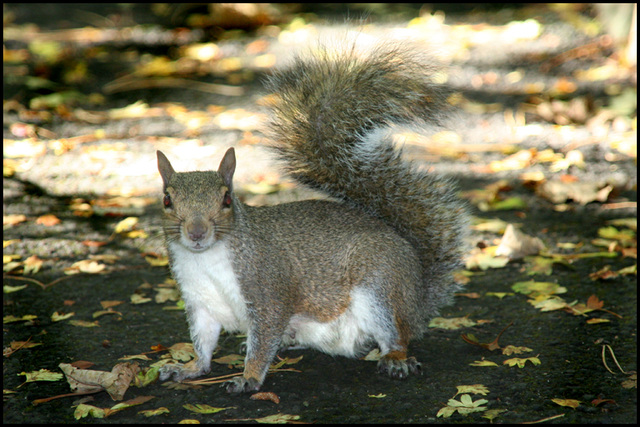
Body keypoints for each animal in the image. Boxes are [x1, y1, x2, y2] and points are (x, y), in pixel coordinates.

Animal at [158, 40, 468, 394]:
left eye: (226, 199)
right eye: (167, 200)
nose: (196, 232)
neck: (206, 259)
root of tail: (417, 296)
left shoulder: (267, 289)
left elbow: (264, 337)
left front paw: (249, 377)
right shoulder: (200, 302)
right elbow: (204, 343)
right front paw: (190, 368)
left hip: (380, 286)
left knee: (396, 335)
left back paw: (396, 358)